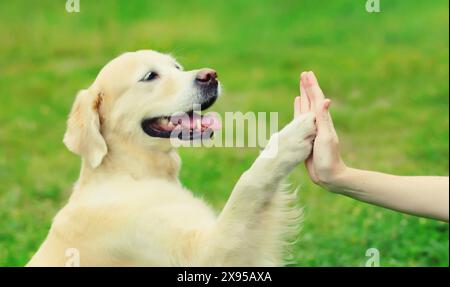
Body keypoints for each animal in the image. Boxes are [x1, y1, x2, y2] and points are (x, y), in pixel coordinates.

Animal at [27, 50, 316, 268]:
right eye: (150, 76)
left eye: (177, 67)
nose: (210, 75)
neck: (132, 173)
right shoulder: (205, 254)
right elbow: (248, 185)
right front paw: (290, 138)